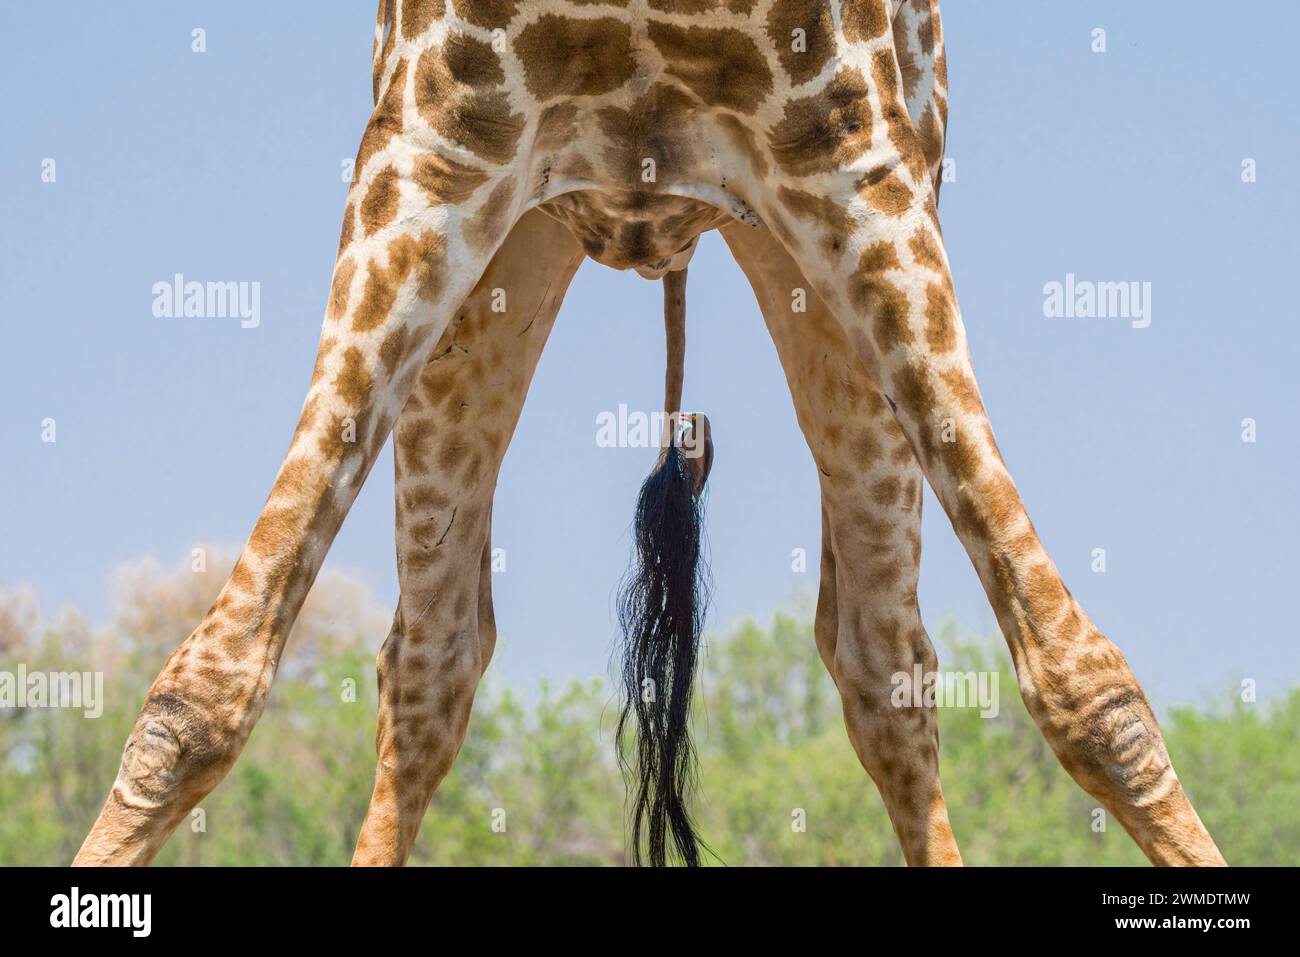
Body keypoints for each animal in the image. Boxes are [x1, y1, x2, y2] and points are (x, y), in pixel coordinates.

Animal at [74, 0, 1226, 867]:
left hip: (828, 242)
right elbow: (203, 691)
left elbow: (1086, 685)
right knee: (433, 652)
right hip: (511, 261)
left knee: (886, 657)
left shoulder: (857, 157)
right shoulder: (431, 149)